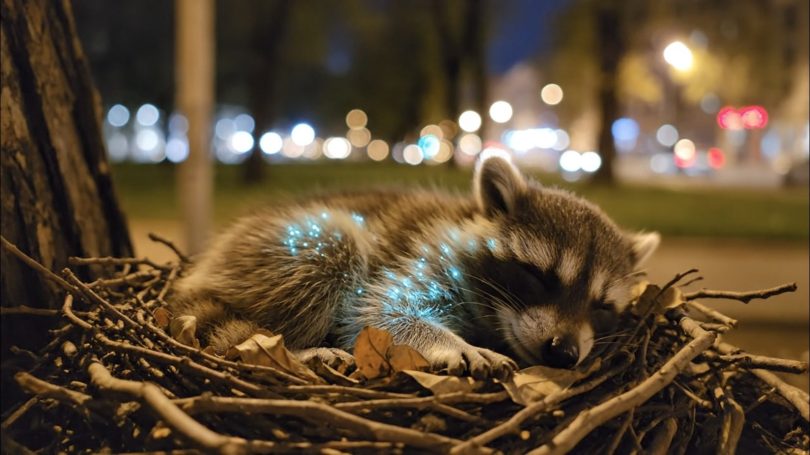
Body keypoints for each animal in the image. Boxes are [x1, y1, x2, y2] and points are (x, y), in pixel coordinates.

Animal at [169, 154, 659, 379]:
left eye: (602, 306)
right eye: (538, 276)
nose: (562, 352)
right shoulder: (427, 252)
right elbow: (378, 312)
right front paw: (447, 341)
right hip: (283, 248)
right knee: (333, 247)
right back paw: (290, 348)